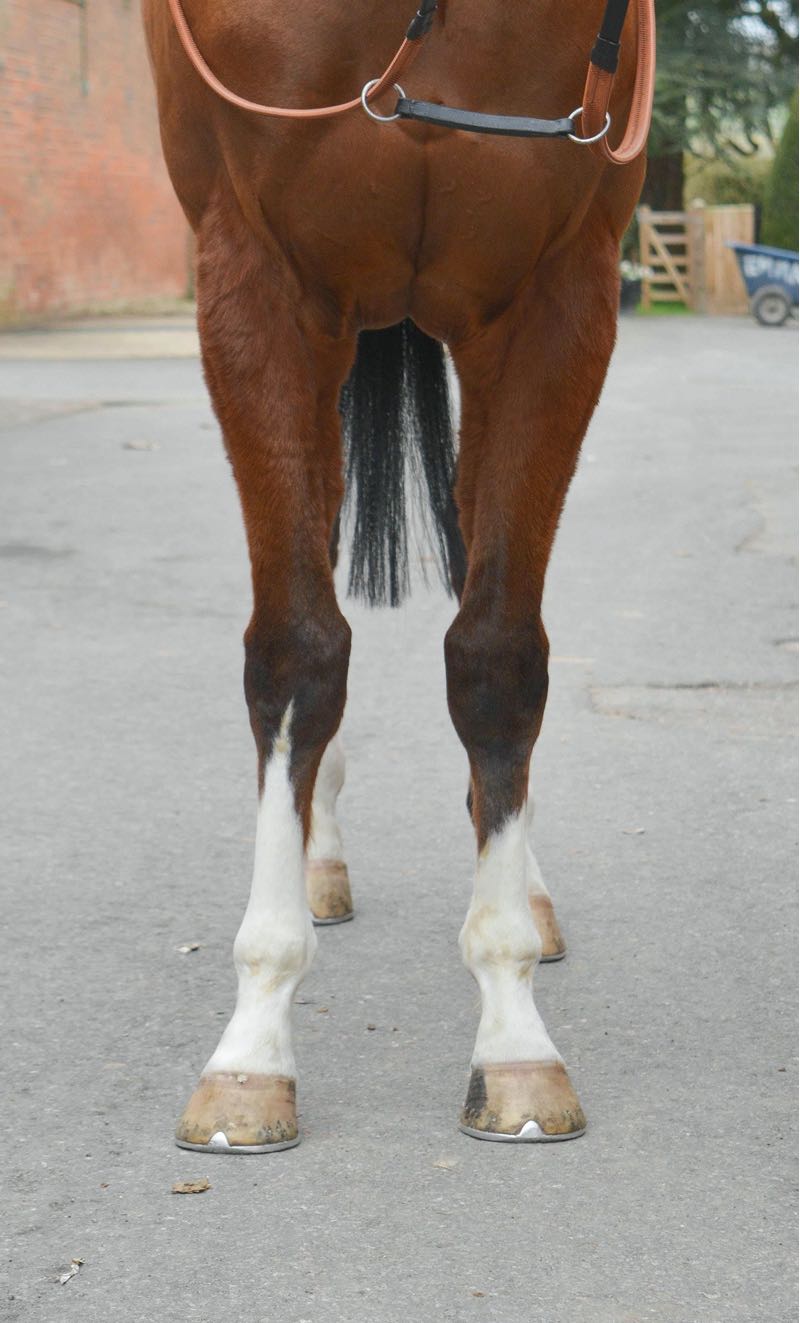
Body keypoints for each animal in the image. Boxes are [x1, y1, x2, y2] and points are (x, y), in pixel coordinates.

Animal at [143, 0, 654, 1151]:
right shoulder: (259, 280)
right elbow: (296, 653)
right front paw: (253, 1045)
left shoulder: (554, 298)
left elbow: (498, 657)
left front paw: (512, 1032)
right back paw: (315, 855)